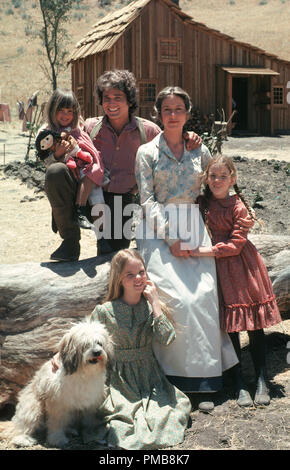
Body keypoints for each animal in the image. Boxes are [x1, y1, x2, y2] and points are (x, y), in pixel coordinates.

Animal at [9, 320, 113, 448]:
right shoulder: (58, 403)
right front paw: (57, 439)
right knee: (24, 424)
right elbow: (56, 422)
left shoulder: (91, 402)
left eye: (99, 343)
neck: (84, 373)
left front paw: (91, 431)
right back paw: (22, 439)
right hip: (32, 406)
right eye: (85, 344)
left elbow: (88, 419)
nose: (97, 352)